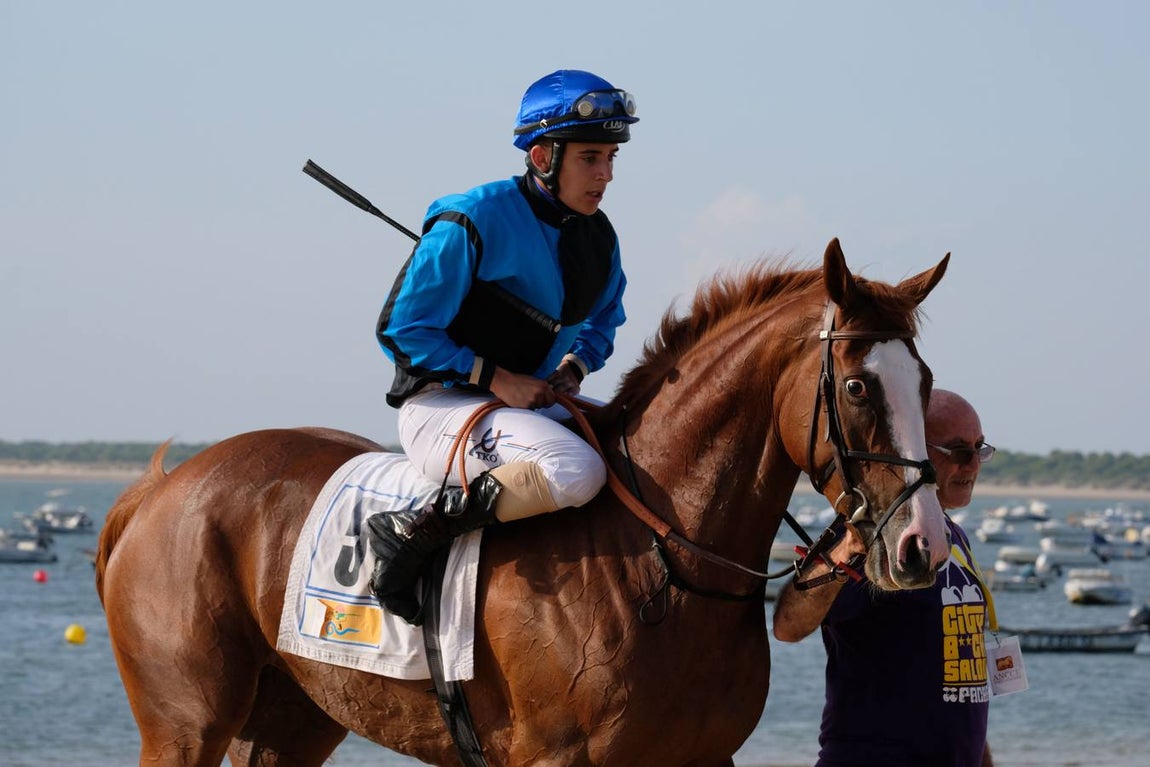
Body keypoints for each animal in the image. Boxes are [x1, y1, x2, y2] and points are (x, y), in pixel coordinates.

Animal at [96, 238, 951, 766]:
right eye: (857, 386)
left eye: (927, 382)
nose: (922, 546)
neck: (660, 565)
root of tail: (160, 489)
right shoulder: (554, 756)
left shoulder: (706, 754)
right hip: (185, 723)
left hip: (295, 716)